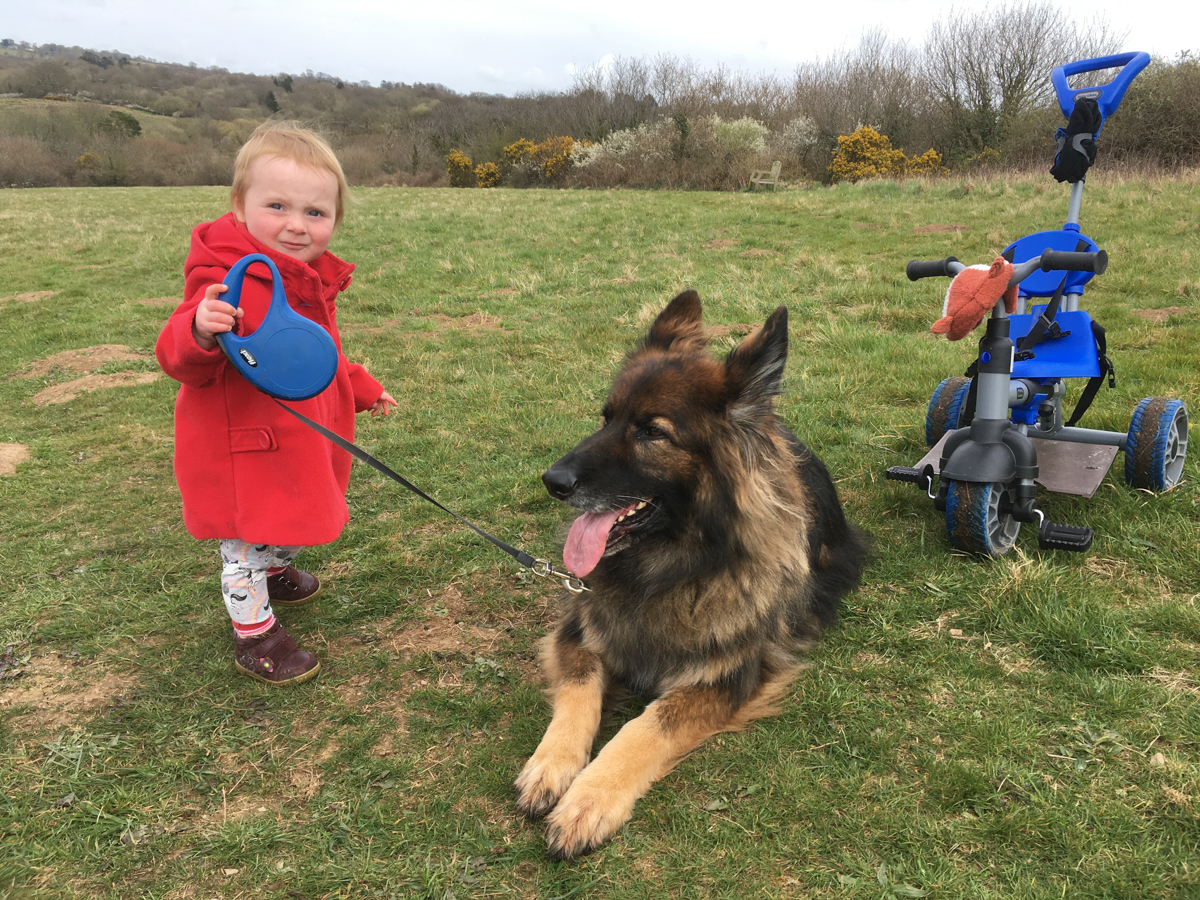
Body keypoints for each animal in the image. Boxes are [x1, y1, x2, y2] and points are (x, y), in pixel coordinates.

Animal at [514, 290, 865, 859]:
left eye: (652, 432)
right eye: (606, 417)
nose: (552, 481)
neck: (672, 567)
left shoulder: (726, 677)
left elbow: (645, 727)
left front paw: (589, 799)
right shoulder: (578, 633)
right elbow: (579, 691)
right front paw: (551, 765)